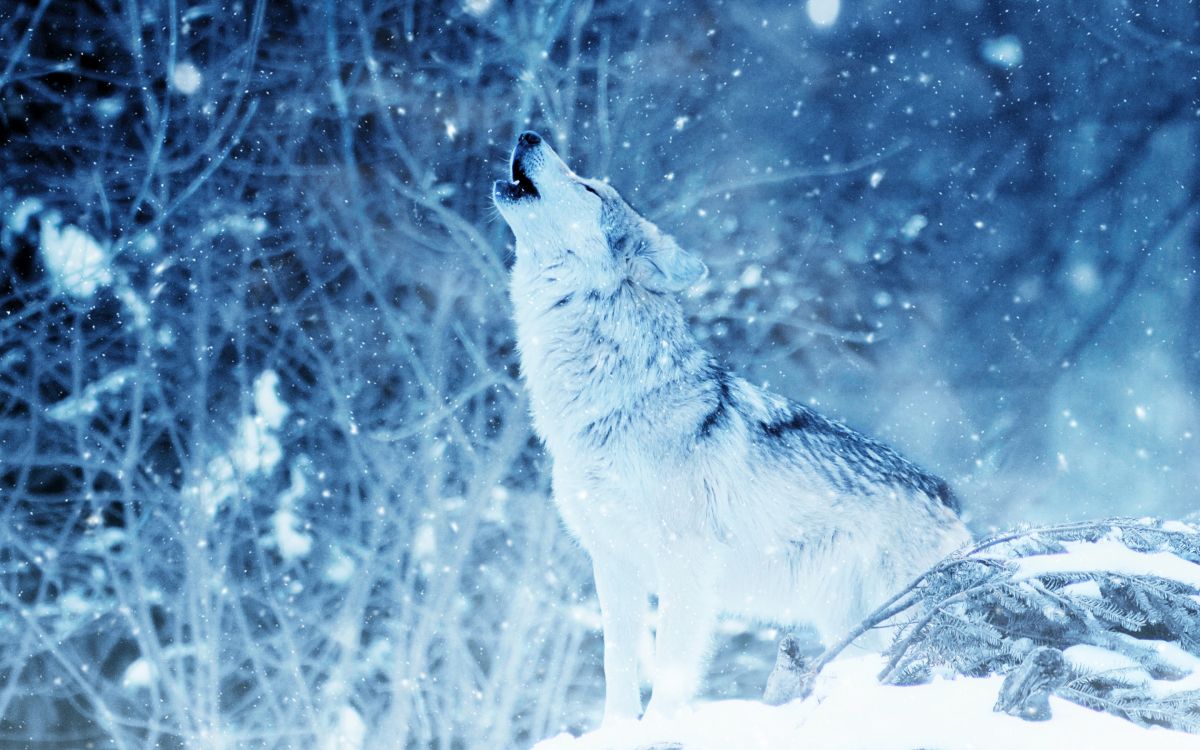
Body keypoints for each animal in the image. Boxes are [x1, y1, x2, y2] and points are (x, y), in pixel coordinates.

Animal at [493, 131, 970, 724]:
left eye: (589, 189)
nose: (528, 134)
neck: (614, 399)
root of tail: (951, 498)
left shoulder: (685, 565)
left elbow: (672, 671)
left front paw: (659, 729)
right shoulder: (614, 563)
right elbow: (617, 666)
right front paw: (617, 730)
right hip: (850, 625)